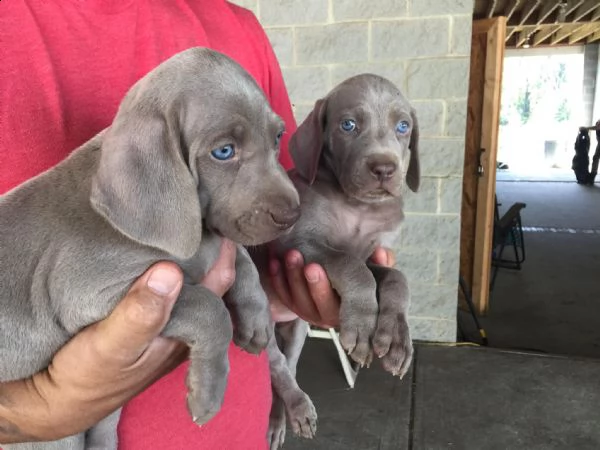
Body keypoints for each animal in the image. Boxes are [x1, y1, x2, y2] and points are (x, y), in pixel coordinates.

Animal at [0, 47, 300, 448]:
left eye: (278, 136)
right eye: (224, 151)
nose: (293, 214)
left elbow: (240, 258)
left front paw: (256, 319)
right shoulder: (89, 293)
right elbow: (208, 306)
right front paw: (207, 393)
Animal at [264, 74, 420, 450]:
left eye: (403, 126)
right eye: (348, 125)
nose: (384, 168)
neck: (358, 208)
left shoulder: (370, 254)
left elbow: (394, 277)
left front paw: (396, 336)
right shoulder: (298, 243)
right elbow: (350, 265)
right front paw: (362, 327)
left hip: (296, 328)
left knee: (287, 365)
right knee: (277, 367)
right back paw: (297, 410)